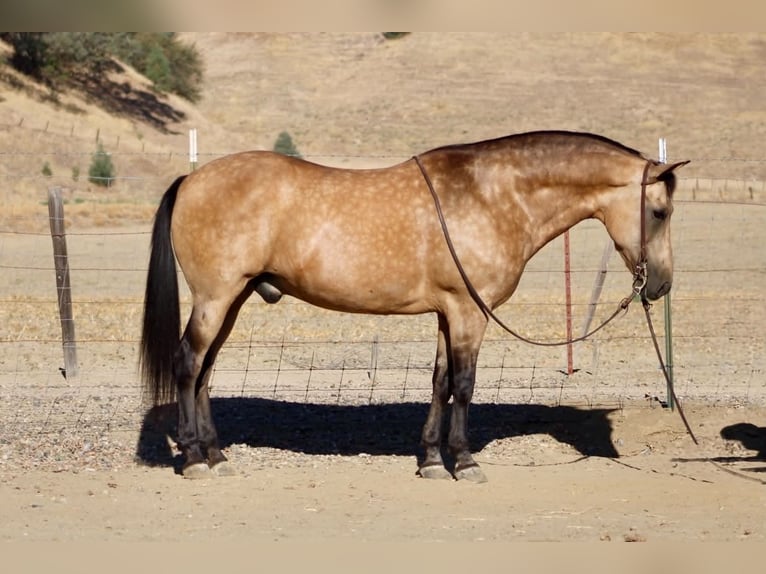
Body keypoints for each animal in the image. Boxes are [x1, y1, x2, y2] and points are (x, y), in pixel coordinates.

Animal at [140, 130, 688, 481]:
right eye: (660, 212)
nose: (660, 285)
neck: (492, 195)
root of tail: (190, 181)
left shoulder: (449, 313)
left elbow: (440, 383)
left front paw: (430, 460)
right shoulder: (469, 313)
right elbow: (464, 386)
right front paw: (464, 461)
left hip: (234, 299)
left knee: (205, 372)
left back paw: (216, 455)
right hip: (215, 298)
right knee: (188, 365)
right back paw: (193, 458)